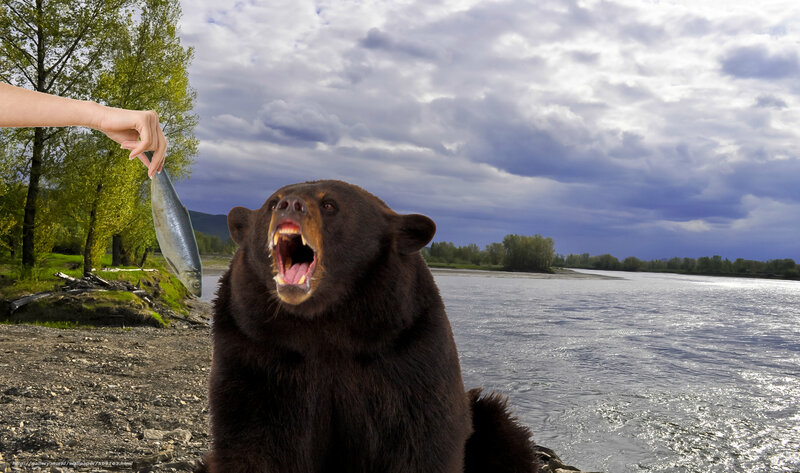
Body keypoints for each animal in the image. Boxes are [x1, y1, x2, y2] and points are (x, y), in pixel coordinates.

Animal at [195, 180, 538, 473]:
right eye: (271, 202)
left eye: (330, 204)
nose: (289, 204)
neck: (324, 321)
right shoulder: (258, 355)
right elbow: (256, 442)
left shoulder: (406, 354)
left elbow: (422, 440)